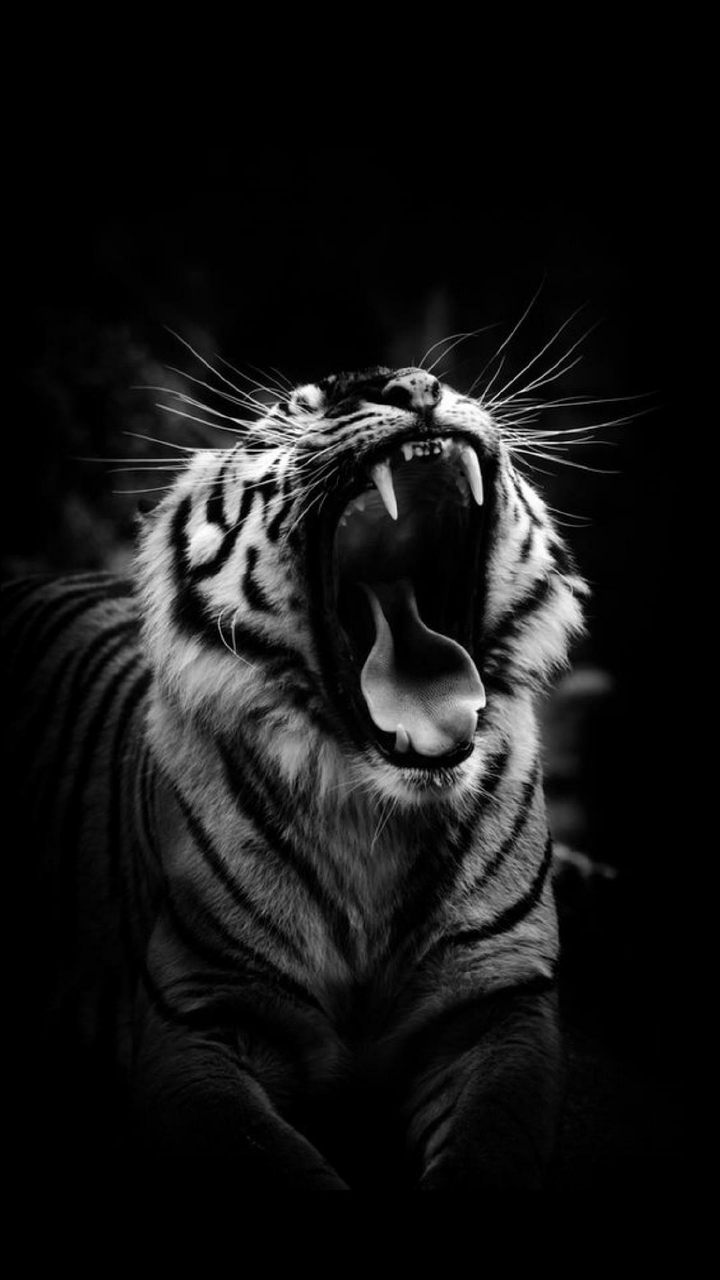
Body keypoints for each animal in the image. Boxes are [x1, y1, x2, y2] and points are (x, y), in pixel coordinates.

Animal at [6, 363, 587, 1187]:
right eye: (293, 410)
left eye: (434, 380)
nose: (410, 385)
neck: (376, 818)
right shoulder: (200, 1022)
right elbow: (278, 1162)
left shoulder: (501, 1003)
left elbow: (490, 1145)